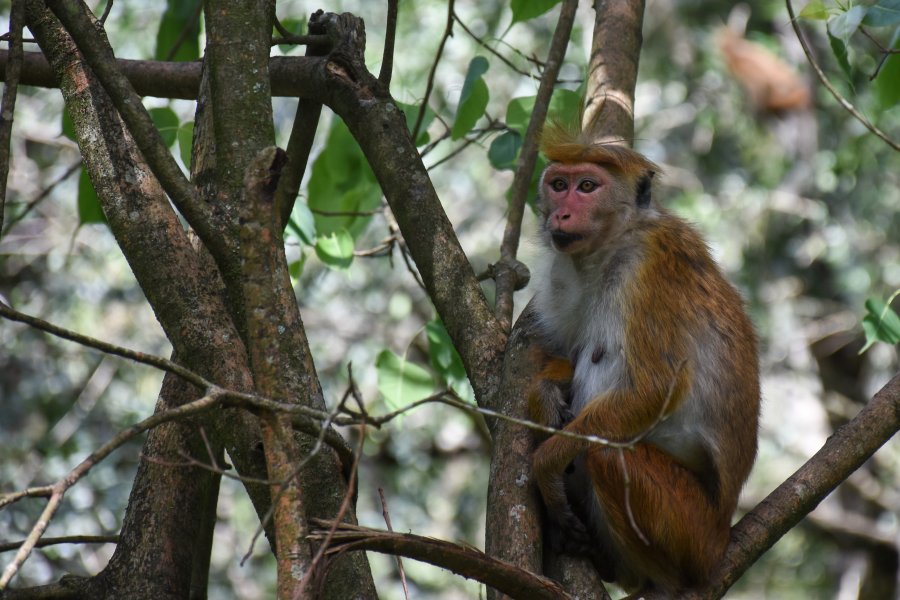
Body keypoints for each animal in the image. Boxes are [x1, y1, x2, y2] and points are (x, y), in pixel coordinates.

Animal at [528, 124, 760, 592]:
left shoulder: (651, 271)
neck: (612, 246)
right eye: (558, 185)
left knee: (606, 456)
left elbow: (654, 388)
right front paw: (544, 394)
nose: (561, 215)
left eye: (587, 187)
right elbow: (568, 356)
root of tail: (723, 535)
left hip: (693, 530)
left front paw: (544, 464)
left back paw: (666, 584)